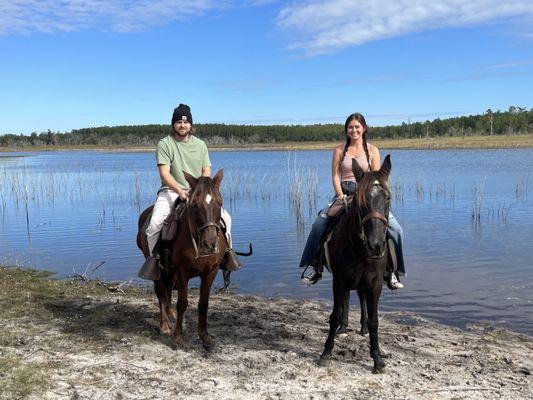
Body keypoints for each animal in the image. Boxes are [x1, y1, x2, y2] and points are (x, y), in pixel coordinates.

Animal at [136, 169, 225, 350]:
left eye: (219, 203)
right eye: (195, 205)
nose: (210, 244)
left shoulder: (211, 271)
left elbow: (203, 304)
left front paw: (205, 337)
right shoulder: (183, 272)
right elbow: (182, 303)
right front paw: (178, 337)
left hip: (170, 271)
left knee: (168, 287)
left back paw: (170, 315)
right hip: (157, 269)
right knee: (160, 292)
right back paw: (164, 325)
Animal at [318, 155, 392, 372]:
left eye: (388, 198)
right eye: (361, 200)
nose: (375, 245)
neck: (361, 250)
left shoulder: (375, 283)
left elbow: (374, 321)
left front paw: (377, 359)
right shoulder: (339, 280)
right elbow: (334, 315)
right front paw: (326, 353)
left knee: (359, 298)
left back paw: (362, 327)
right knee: (347, 299)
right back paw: (344, 327)